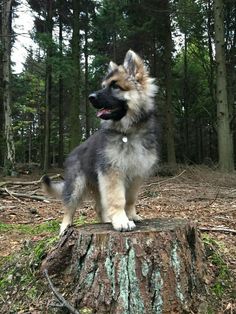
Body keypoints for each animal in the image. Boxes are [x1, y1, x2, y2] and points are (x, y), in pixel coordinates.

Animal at [42, 49, 159, 234]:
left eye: (115, 86)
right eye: (104, 85)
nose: (90, 97)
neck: (128, 132)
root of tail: (74, 152)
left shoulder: (136, 174)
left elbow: (130, 199)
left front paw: (131, 215)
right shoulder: (112, 173)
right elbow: (118, 199)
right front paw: (121, 220)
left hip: (97, 185)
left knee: (98, 207)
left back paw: (105, 220)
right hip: (76, 185)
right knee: (69, 207)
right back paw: (65, 227)